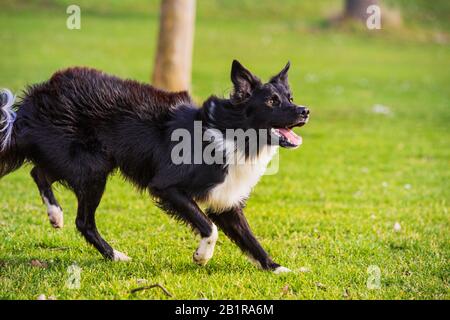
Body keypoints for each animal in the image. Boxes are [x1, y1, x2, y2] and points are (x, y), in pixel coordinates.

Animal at [0, 60, 308, 272]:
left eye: (290, 98)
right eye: (272, 101)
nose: (305, 111)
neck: (233, 133)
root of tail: (37, 97)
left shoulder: (226, 202)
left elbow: (251, 240)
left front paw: (278, 269)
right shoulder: (167, 186)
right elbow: (209, 227)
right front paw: (202, 256)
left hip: (77, 160)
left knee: (38, 171)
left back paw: (55, 215)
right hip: (92, 167)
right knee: (82, 220)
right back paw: (114, 255)